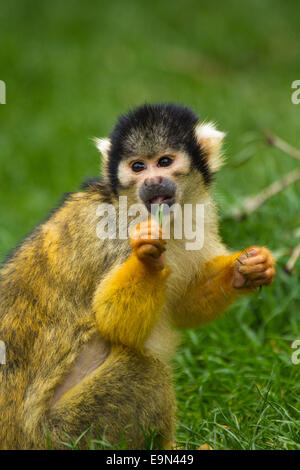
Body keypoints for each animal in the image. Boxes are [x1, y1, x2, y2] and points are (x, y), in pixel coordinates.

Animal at [0, 103, 274, 448]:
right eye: (138, 166)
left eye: (165, 162)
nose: (154, 181)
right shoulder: (114, 233)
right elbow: (114, 322)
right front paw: (147, 257)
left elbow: (180, 307)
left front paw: (248, 270)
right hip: (62, 435)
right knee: (144, 370)